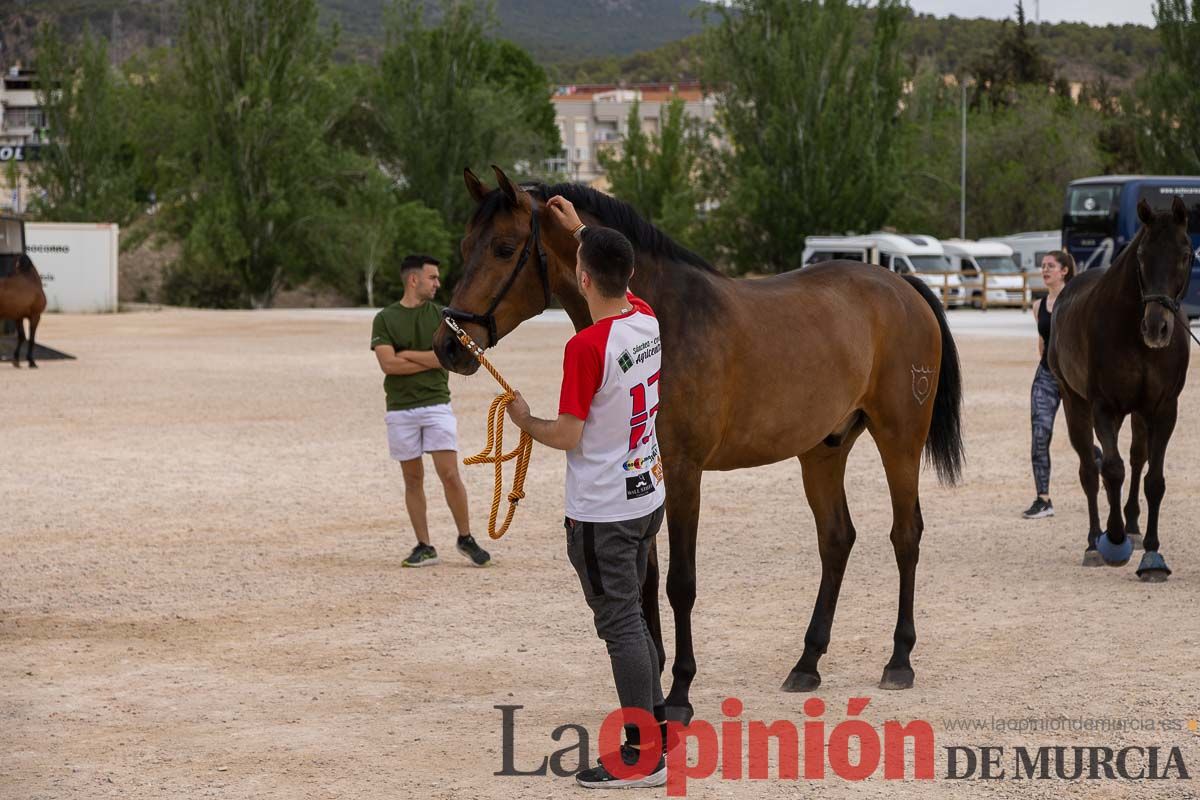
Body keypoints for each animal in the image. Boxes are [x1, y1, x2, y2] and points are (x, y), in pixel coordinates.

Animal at [434, 167, 964, 719]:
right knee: (836, 539)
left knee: (906, 535)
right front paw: (653, 678)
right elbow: (645, 580)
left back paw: (899, 659)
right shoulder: (644, 477)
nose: (448, 345)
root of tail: (900, 286)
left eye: (503, 248)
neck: (665, 317)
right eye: (464, 245)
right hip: (823, 450)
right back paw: (807, 663)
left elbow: (679, 584)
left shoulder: (684, 473)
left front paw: (680, 692)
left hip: (899, 440)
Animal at [1051, 195, 1190, 582]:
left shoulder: (1163, 408)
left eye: (1186, 254)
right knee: (1089, 468)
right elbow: (1110, 469)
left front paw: (1153, 555)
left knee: (1138, 458)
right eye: (1141, 255)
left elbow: (1154, 479)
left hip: (1140, 414)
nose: (1157, 328)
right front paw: (1112, 542)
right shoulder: (1104, 407)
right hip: (1074, 403)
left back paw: (1133, 528)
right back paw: (1093, 541)